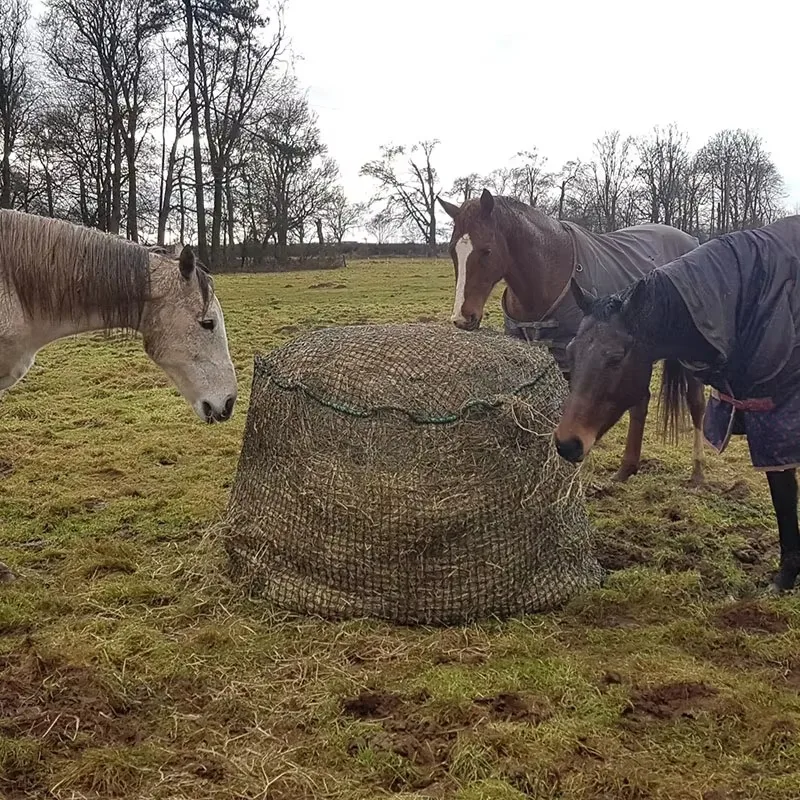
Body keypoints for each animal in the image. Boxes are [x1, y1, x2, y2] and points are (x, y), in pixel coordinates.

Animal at [437, 188, 708, 484]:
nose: (463, 317)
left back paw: (697, 472)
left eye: (486, 250)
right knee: (640, 401)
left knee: (696, 404)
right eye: (453, 251)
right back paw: (626, 469)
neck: (548, 277)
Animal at [554, 215, 800, 592]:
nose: (567, 443)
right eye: (570, 351)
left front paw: (785, 578)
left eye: (616, 357)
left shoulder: (776, 419)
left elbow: (784, 494)